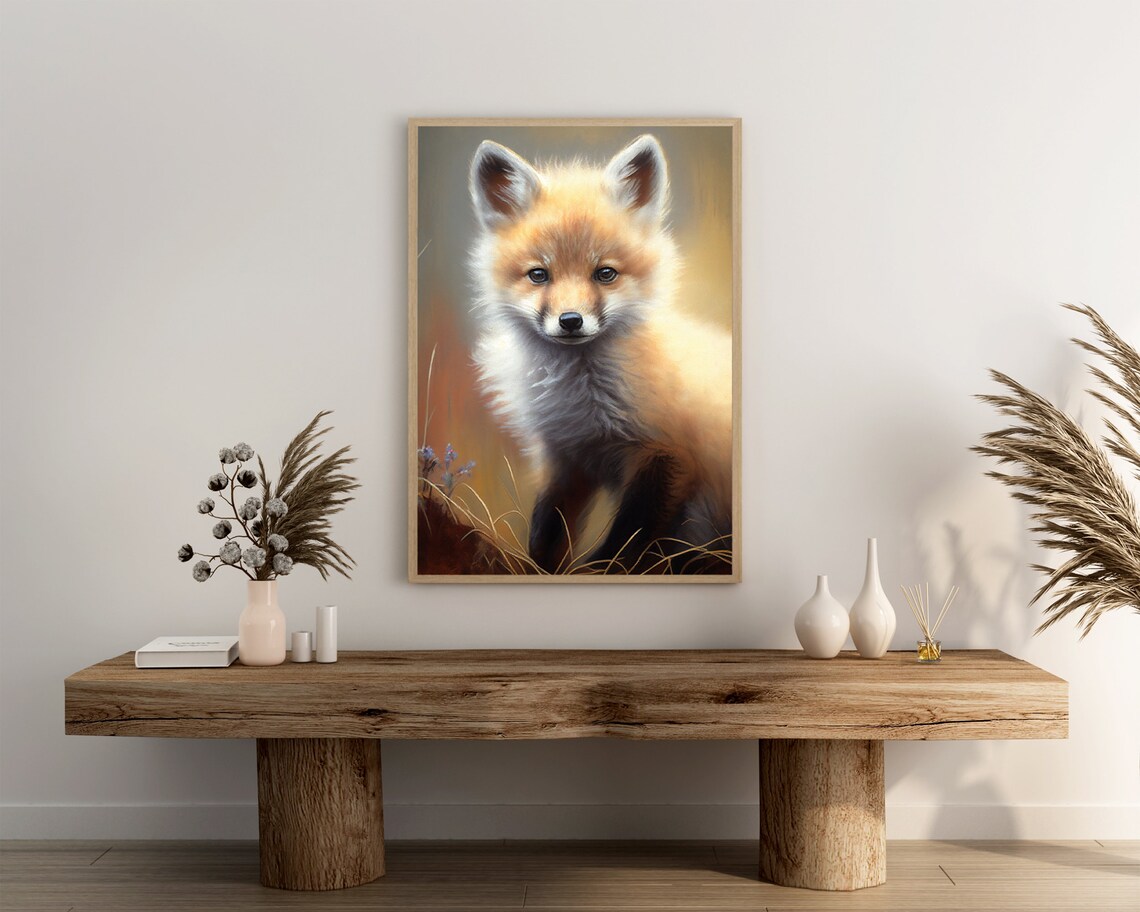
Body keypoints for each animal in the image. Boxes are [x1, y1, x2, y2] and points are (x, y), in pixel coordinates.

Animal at [467, 134, 733, 574]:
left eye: (605, 273)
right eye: (538, 274)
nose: (570, 321)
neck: (582, 399)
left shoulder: (666, 453)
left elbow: (628, 540)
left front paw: (598, 569)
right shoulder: (563, 457)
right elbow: (547, 531)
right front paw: (541, 570)